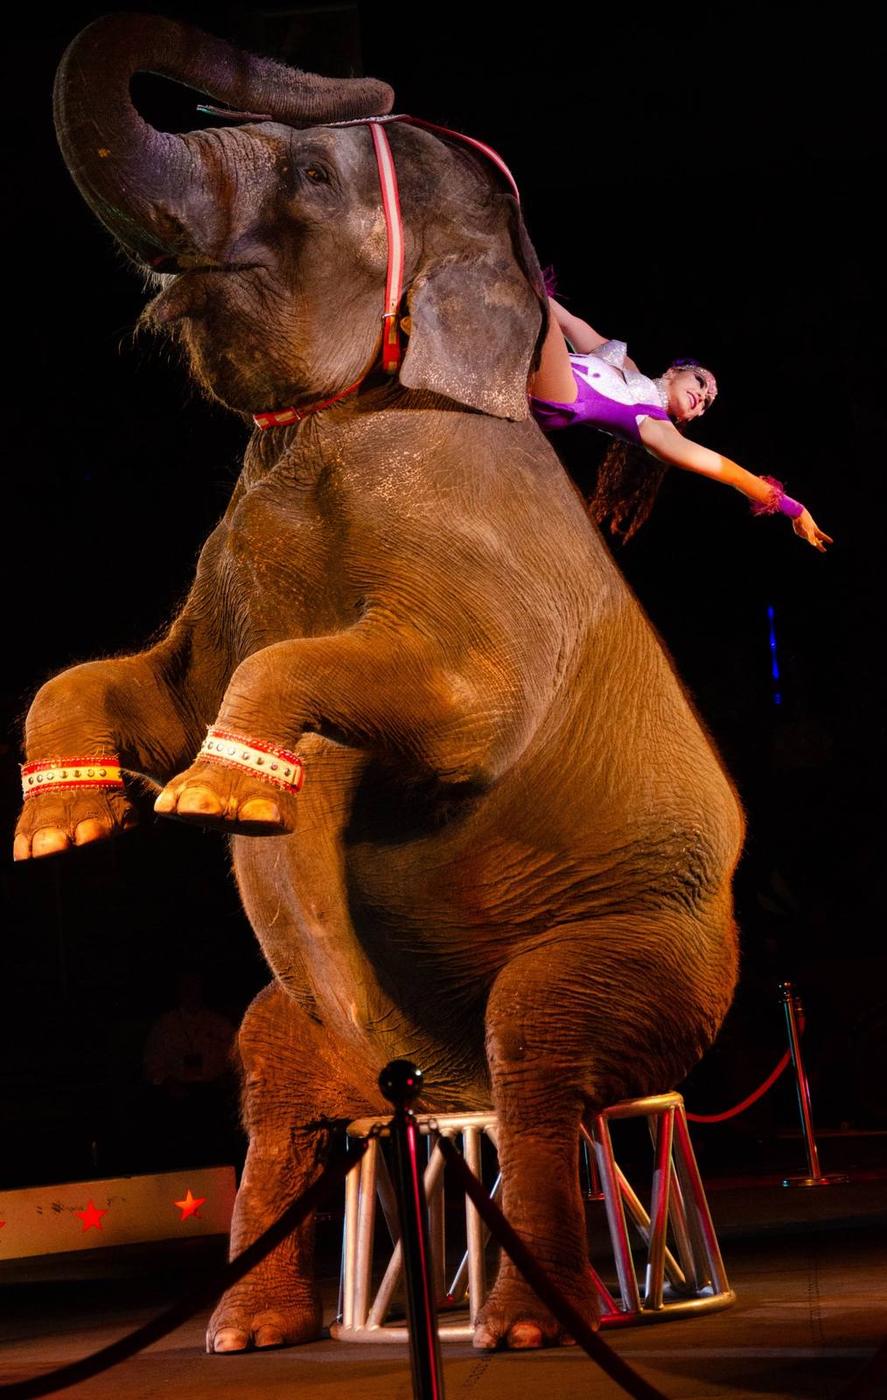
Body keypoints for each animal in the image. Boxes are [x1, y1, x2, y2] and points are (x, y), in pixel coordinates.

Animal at [16, 13, 743, 1353]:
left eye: (308, 178)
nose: (378, 81)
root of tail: (432, 1092)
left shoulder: (481, 550)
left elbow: (461, 707)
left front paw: (221, 797)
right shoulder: (224, 563)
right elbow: (146, 683)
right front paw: (66, 828)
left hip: (655, 958)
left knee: (542, 1051)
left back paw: (522, 1327)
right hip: (312, 1037)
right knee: (270, 1081)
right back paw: (250, 1331)